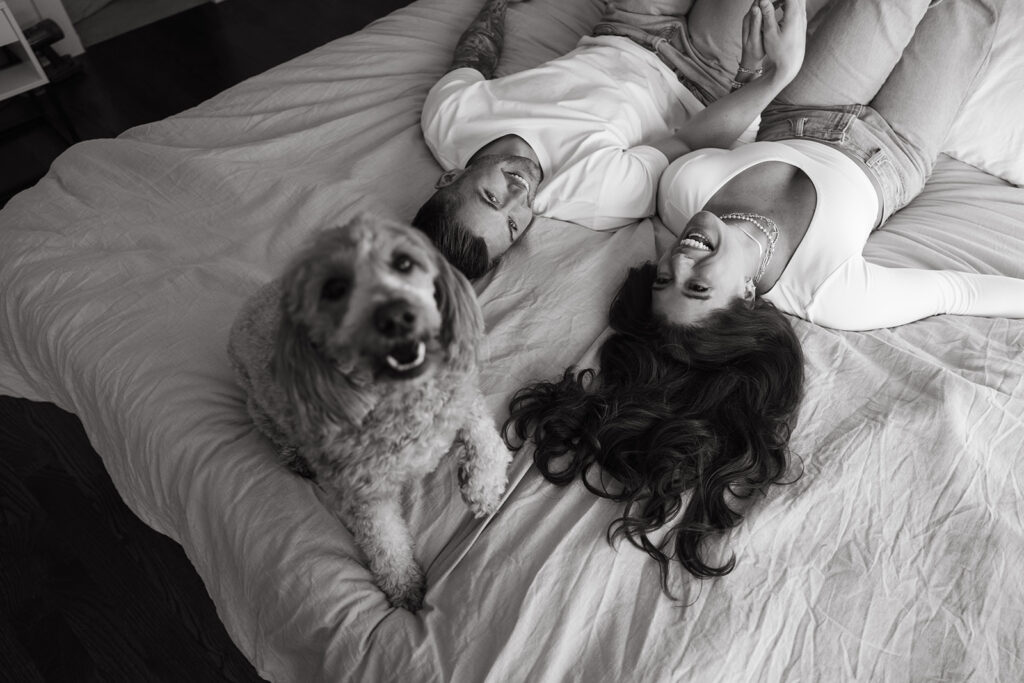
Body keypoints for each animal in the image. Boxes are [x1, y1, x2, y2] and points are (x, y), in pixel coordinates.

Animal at [227, 214, 507, 610]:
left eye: (404, 263)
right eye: (334, 288)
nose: (396, 316)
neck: (403, 400)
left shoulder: (462, 401)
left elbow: (490, 444)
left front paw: (483, 488)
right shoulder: (366, 497)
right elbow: (385, 542)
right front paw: (404, 586)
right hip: (258, 402)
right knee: (274, 429)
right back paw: (296, 457)